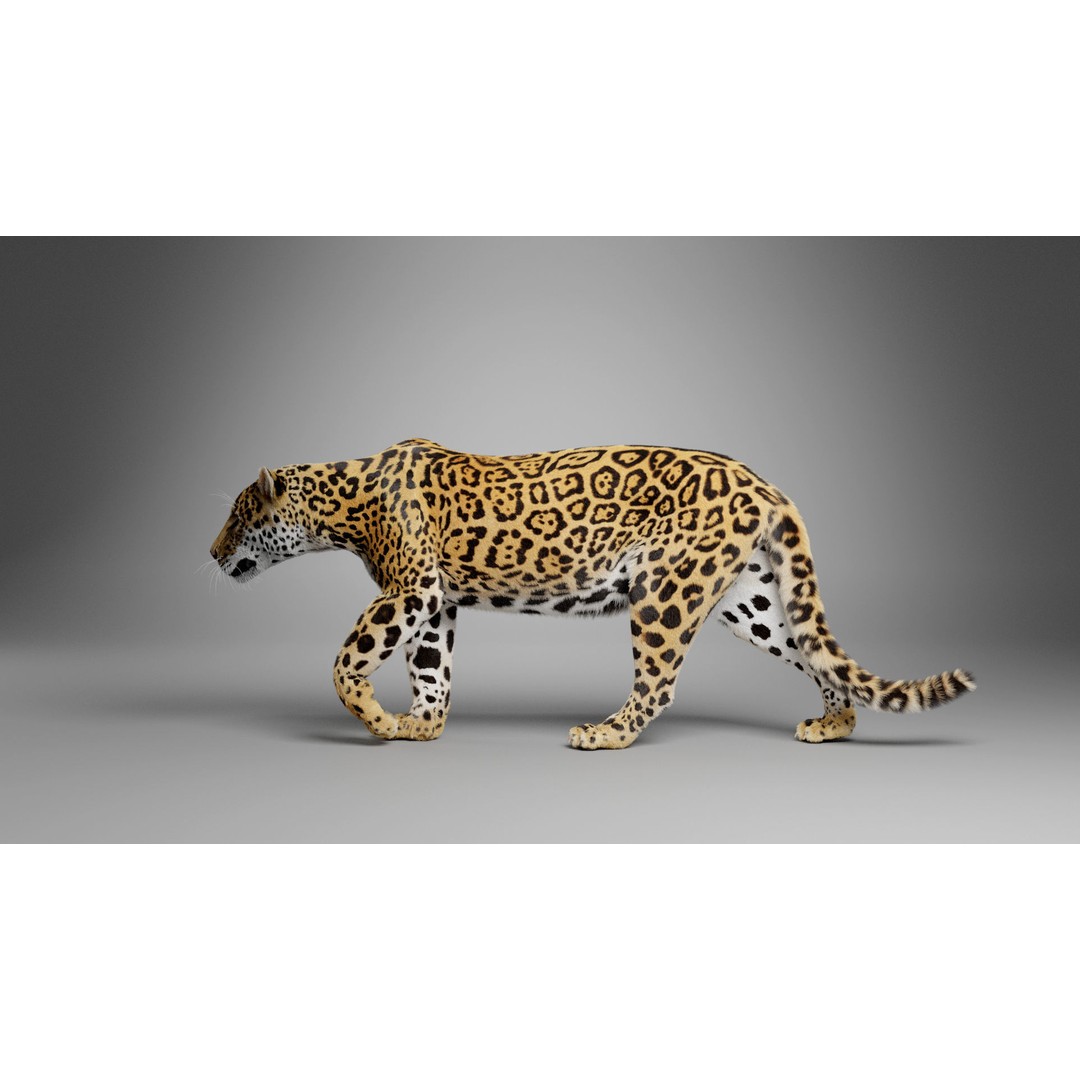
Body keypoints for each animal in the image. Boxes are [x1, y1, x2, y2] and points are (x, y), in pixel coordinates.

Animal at [210, 438, 975, 749]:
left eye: (238, 516)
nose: (213, 553)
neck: (345, 505)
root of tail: (763, 482)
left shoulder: (410, 587)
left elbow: (347, 660)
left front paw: (375, 719)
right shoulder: (435, 599)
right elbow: (431, 669)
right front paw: (420, 725)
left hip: (664, 592)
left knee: (659, 683)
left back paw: (604, 734)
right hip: (748, 600)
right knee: (811, 650)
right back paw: (833, 724)